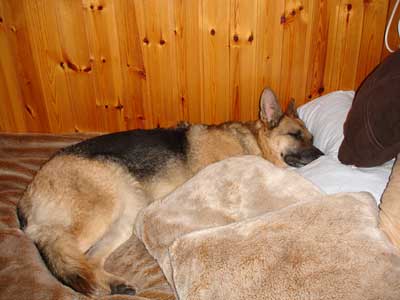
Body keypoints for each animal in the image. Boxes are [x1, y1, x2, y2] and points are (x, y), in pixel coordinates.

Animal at [18, 88, 322, 296]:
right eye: (295, 135)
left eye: (312, 138)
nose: (321, 155)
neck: (253, 142)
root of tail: (27, 195)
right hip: (100, 210)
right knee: (62, 250)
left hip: (126, 217)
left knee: (89, 261)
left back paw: (113, 285)